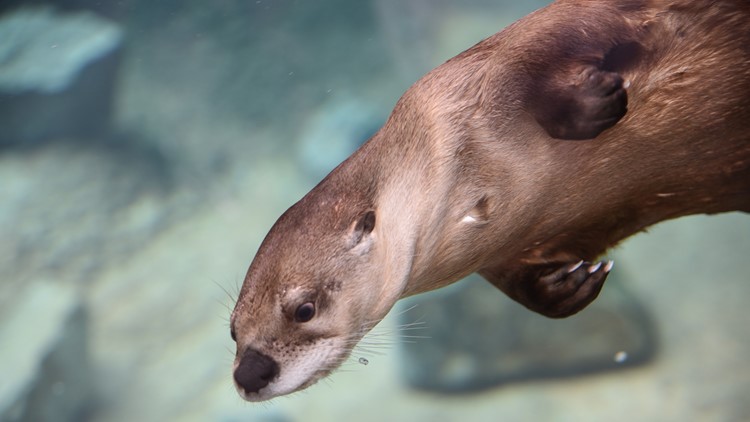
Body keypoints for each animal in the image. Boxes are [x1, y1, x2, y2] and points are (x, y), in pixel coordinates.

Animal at [230, 0, 750, 401]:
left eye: (304, 309)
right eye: (233, 330)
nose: (249, 374)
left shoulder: (523, 51)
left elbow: (557, 62)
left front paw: (598, 101)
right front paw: (570, 282)